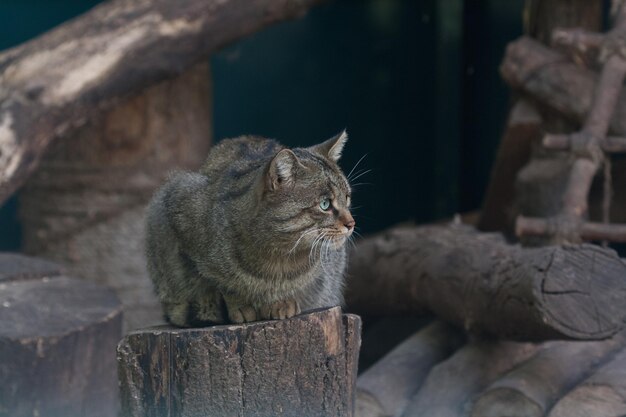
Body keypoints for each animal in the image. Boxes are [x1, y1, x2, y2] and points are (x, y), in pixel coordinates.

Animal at [143, 130, 354, 324]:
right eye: (325, 204)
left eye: (347, 198)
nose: (352, 223)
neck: (277, 257)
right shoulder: (179, 204)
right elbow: (218, 283)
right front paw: (239, 304)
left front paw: (280, 302)